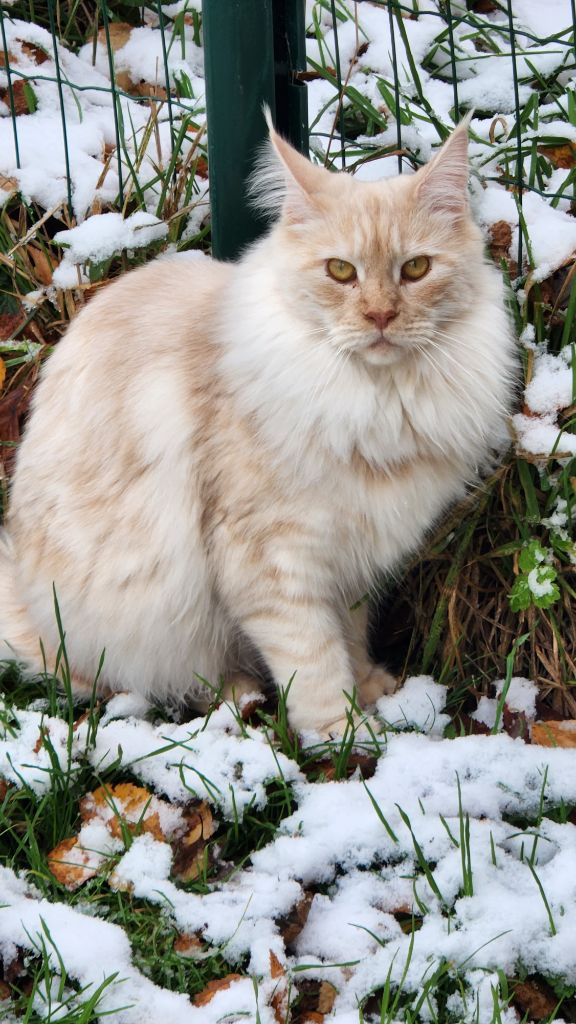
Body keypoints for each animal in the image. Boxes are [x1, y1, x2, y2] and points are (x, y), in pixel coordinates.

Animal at [0, 117, 510, 737]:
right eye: (341, 271)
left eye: (416, 269)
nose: (381, 316)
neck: (375, 404)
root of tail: (28, 609)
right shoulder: (271, 560)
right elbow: (313, 660)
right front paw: (343, 734)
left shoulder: (350, 563)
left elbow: (349, 637)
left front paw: (368, 689)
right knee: (129, 681)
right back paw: (236, 697)